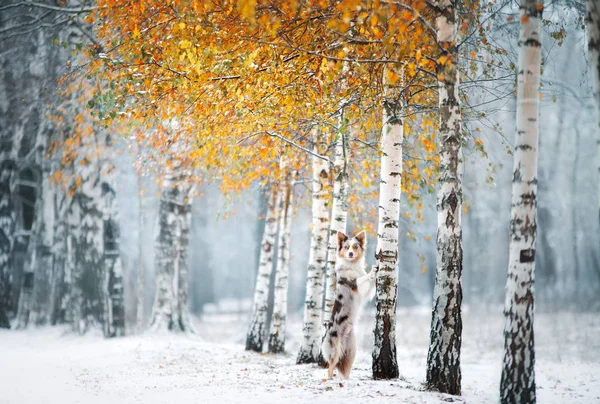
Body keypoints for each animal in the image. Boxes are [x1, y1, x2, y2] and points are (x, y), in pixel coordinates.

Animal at [324, 230, 376, 378]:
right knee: (330, 367)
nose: (351, 254)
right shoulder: (354, 283)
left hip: (351, 353)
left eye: (355, 247)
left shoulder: (365, 290)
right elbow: (363, 278)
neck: (352, 264)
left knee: (345, 370)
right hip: (335, 350)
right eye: (347, 247)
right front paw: (373, 270)